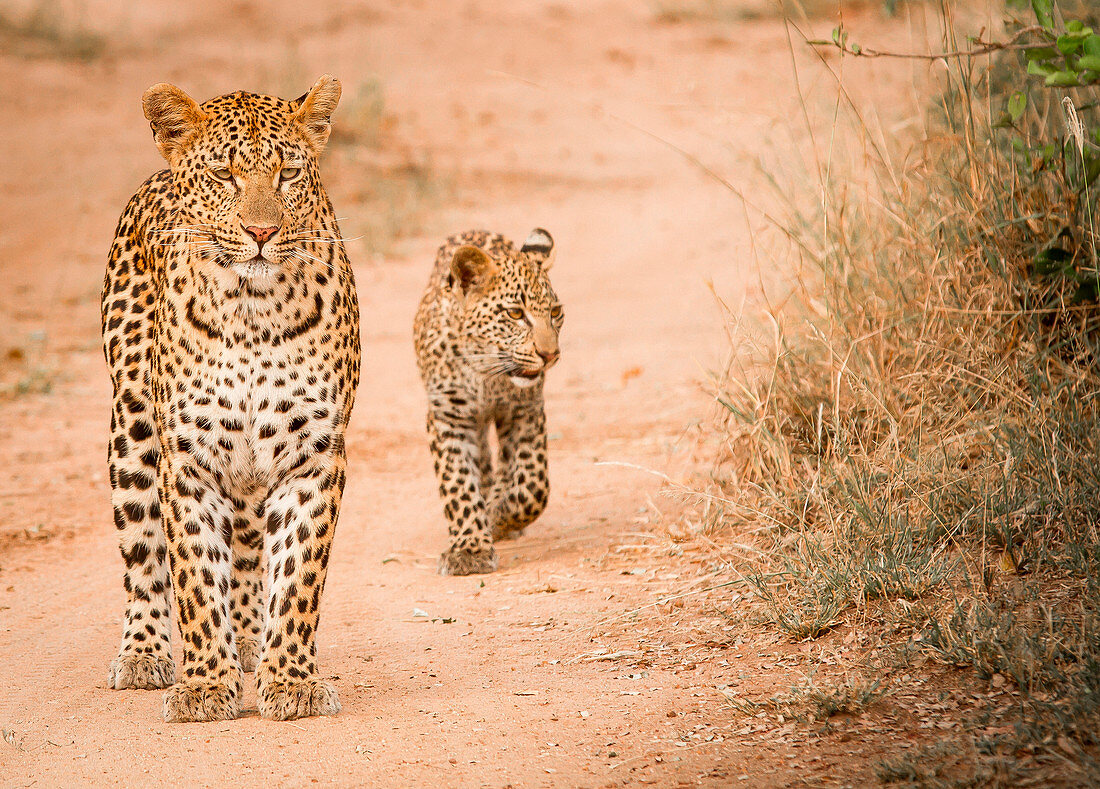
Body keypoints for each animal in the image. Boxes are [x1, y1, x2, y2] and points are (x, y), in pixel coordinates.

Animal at [101, 77, 358, 721]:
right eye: (224, 175)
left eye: (288, 173)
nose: (262, 234)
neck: (252, 310)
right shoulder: (188, 457)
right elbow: (193, 576)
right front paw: (204, 685)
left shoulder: (312, 455)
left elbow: (297, 576)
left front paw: (290, 680)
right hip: (132, 427)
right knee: (143, 555)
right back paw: (144, 652)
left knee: (244, 544)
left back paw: (250, 640)